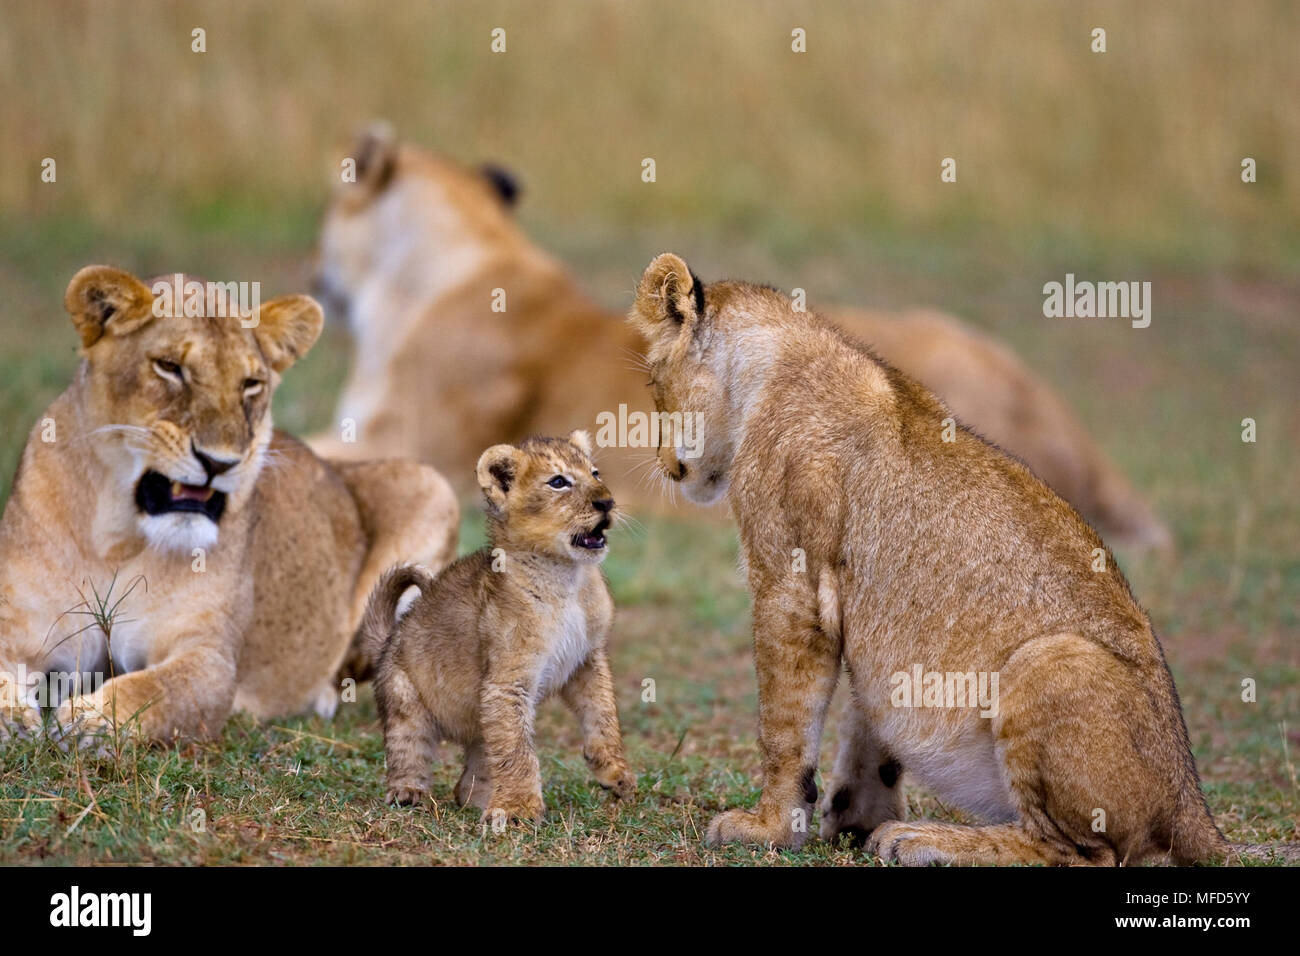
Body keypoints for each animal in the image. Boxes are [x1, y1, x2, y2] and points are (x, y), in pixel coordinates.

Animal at [0, 266, 459, 746]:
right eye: (170, 367)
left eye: (250, 384)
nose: (219, 463)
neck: (118, 536)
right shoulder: (19, 629)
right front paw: (14, 719)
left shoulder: (210, 659)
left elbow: (151, 689)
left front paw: (88, 721)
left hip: (432, 486)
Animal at [359, 431, 633, 820]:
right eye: (558, 482)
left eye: (595, 473)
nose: (607, 502)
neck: (568, 577)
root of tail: (388, 639)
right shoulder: (507, 682)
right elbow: (518, 753)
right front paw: (521, 810)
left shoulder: (586, 661)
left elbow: (603, 715)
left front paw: (615, 773)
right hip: (405, 698)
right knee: (408, 748)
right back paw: (408, 793)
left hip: (482, 722)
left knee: (474, 772)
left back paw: (480, 800)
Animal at [628, 253, 1224, 865]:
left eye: (652, 383)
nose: (662, 464)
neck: (772, 362)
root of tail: (1192, 807)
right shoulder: (865, 625)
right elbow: (866, 723)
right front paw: (854, 817)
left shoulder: (789, 584)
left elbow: (784, 723)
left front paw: (768, 827)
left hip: (1048, 657)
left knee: (1077, 852)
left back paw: (925, 840)